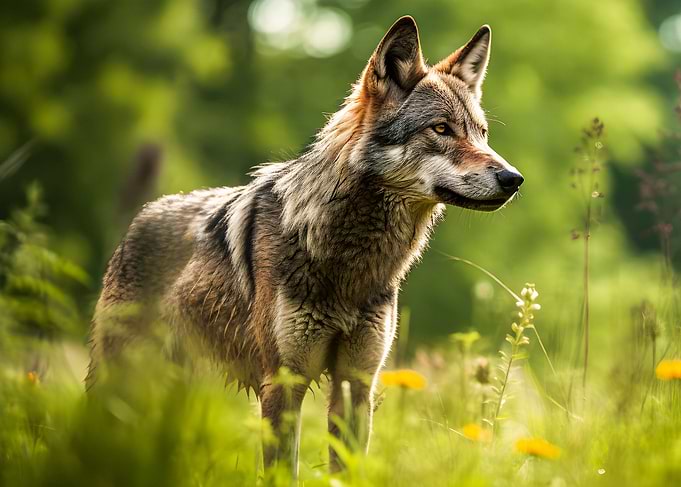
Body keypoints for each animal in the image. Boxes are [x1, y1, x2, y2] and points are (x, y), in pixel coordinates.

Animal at [86, 16, 523, 475]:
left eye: (482, 133)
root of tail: (140, 217)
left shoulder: (356, 384)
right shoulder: (283, 383)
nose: (513, 178)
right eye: (441, 128)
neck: (348, 260)